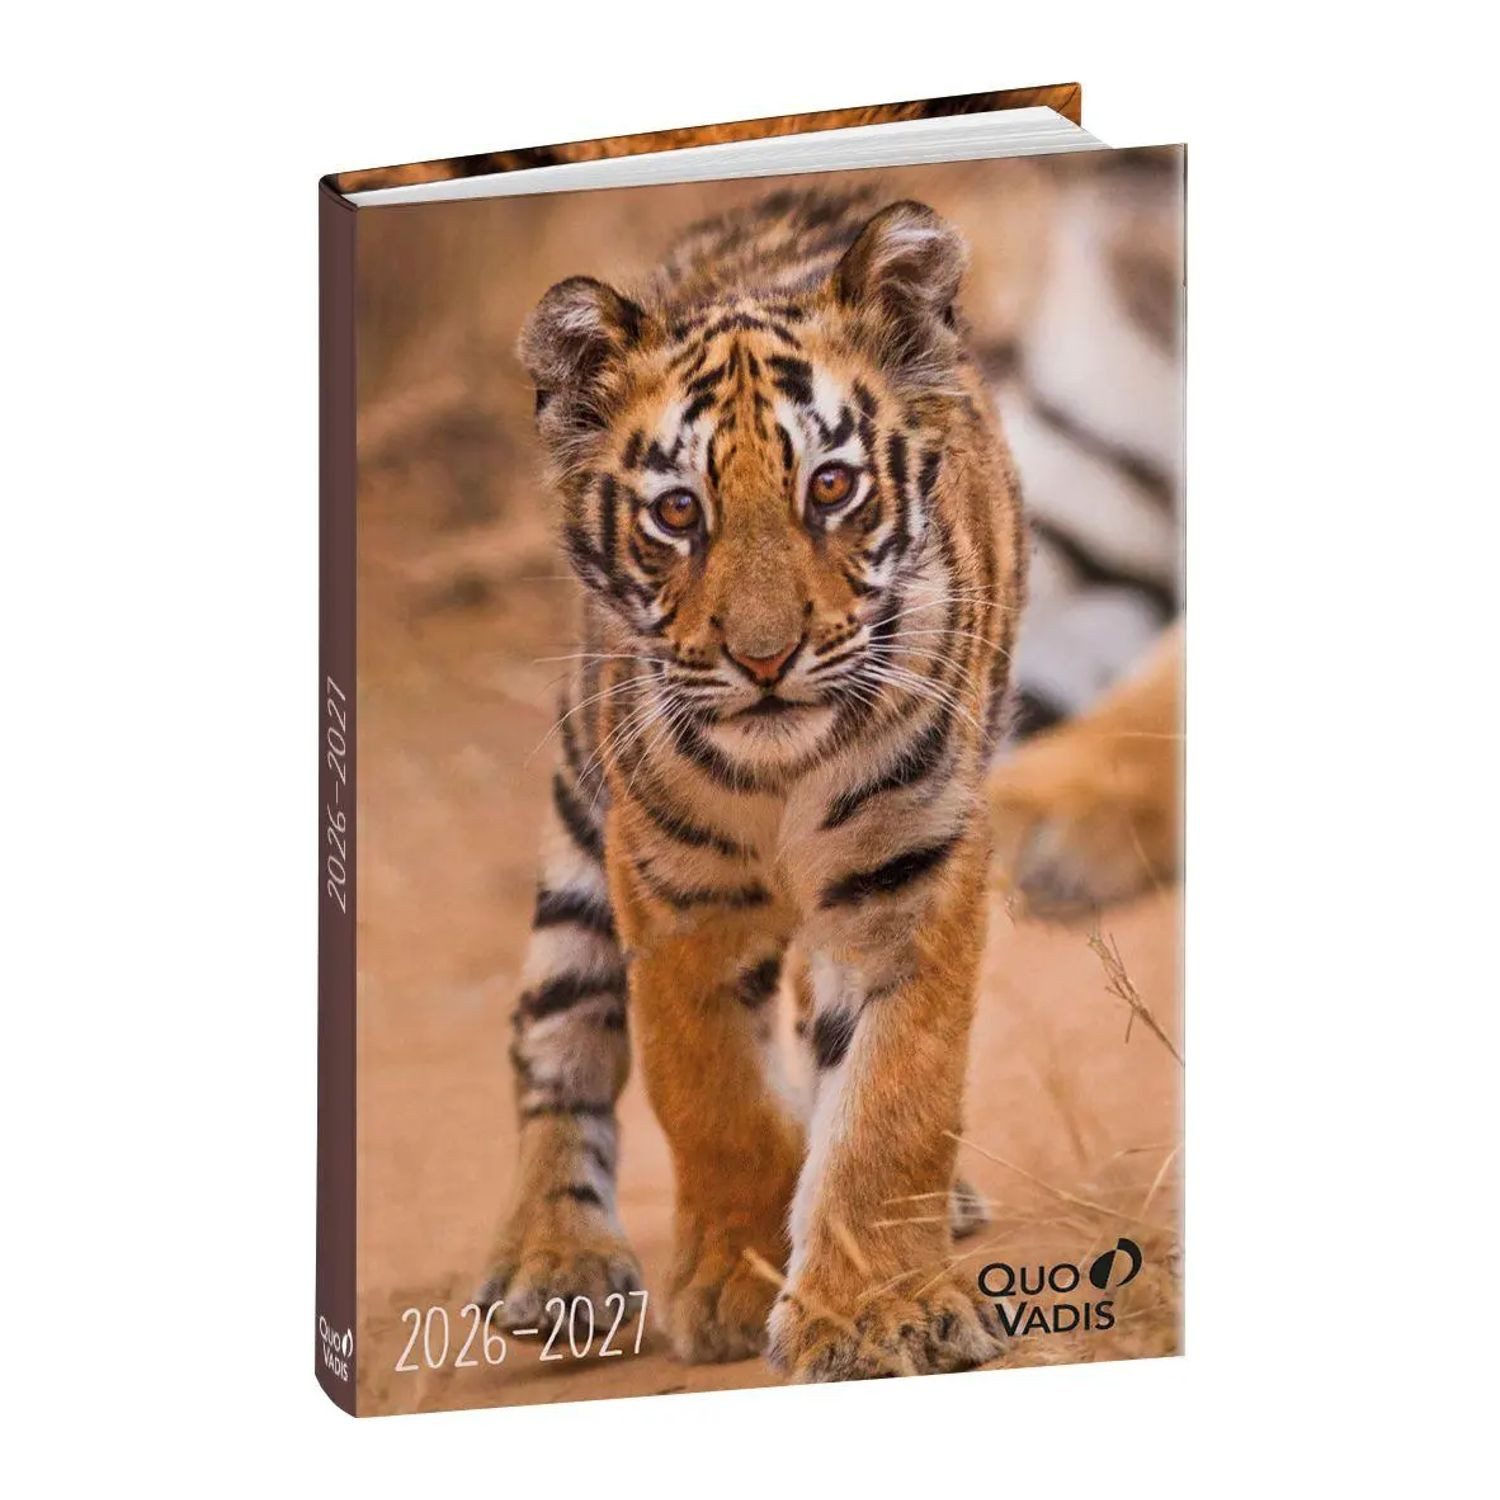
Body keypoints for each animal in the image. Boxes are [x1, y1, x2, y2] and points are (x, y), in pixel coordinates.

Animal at [474, 187, 1026, 1380]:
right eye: (679, 512)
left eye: (832, 488)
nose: (765, 658)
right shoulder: (673, 895)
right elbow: (710, 1092)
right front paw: (735, 1284)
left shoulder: (914, 876)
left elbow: (896, 1100)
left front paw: (871, 1315)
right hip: (582, 817)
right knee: (555, 1030)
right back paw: (555, 1259)